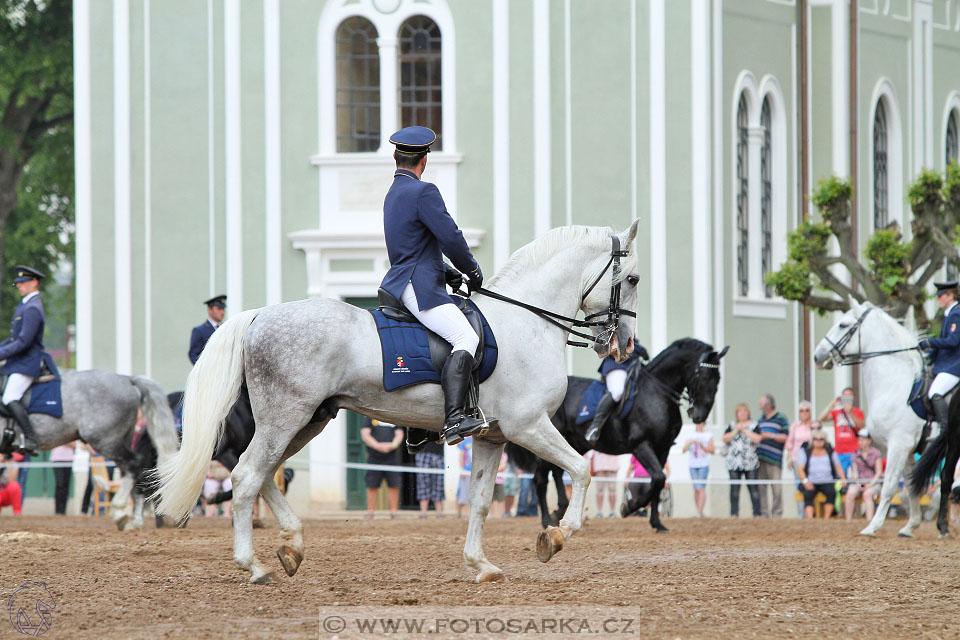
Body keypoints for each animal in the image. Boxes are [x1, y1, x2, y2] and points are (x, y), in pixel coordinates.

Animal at [25, 370, 180, 528]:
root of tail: (125, 378)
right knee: (133, 473)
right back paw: (129, 517)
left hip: (105, 441)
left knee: (133, 467)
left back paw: (121, 509)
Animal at [156, 221, 636, 584]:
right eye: (631, 279)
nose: (624, 346)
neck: (528, 322)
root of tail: (259, 316)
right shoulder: (530, 426)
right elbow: (581, 469)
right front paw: (556, 536)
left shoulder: (494, 437)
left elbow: (481, 501)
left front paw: (481, 566)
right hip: (285, 418)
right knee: (248, 476)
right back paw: (254, 566)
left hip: (308, 420)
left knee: (265, 473)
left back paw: (292, 547)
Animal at [510, 338, 720, 532]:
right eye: (703, 376)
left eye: (718, 380)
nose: (699, 416)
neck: (658, 392)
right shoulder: (641, 445)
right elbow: (658, 479)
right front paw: (629, 507)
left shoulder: (663, 448)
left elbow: (658, 483)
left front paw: (657, 523)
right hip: (544, 439)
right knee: (541, 479)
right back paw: (547, 519)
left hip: (575, 443)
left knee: (559, 471)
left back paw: (560, 509)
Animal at [812, 298, 928, 536]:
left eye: (843, 325)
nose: (818, 356)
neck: (896, 385)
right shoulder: (908, 449)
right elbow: (912, 484)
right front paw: (911, 525)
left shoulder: (899, 444)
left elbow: (890, 485)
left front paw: (873, 525)